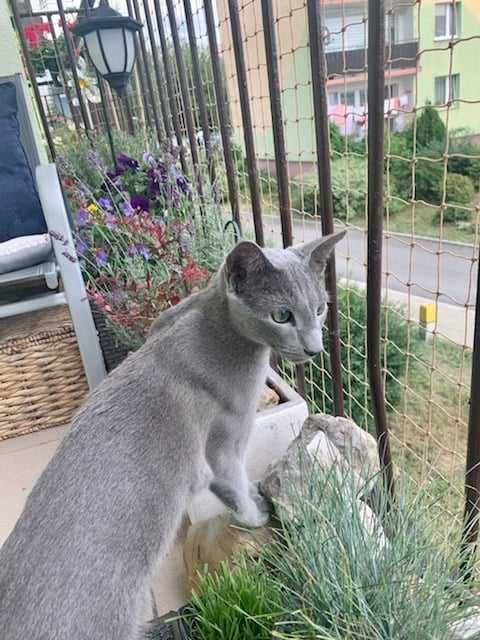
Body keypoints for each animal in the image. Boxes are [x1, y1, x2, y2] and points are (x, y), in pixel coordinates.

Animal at [0, 230, 344, 640]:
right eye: (282, 316)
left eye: (320, 309)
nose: (315, 348)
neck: (215, 322)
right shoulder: (224, 444)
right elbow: (234, 486)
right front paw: (256, 513)